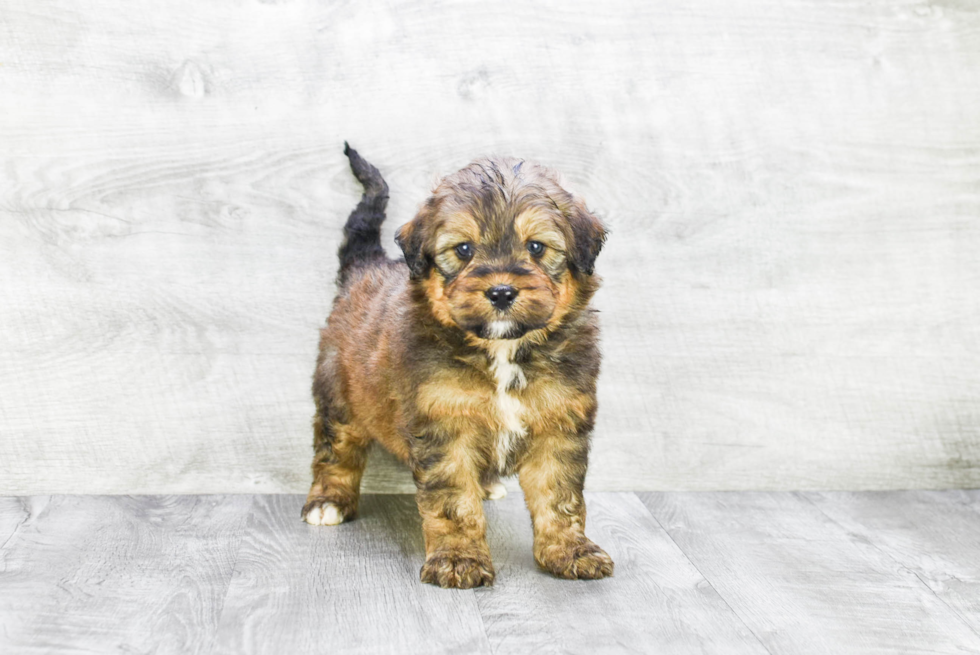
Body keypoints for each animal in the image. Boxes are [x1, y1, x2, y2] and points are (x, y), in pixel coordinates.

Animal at [300, 145, 612, 588]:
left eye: (536, 248)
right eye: (464, 250)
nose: (501, 292)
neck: (502, 350)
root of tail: (364, 267)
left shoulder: (559, 425)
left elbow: (560, 496)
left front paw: (570, 550)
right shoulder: (444, 428)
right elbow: (453, 503)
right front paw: (458, 559)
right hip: (338, 394)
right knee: (336, 449)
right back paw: (328, 501)